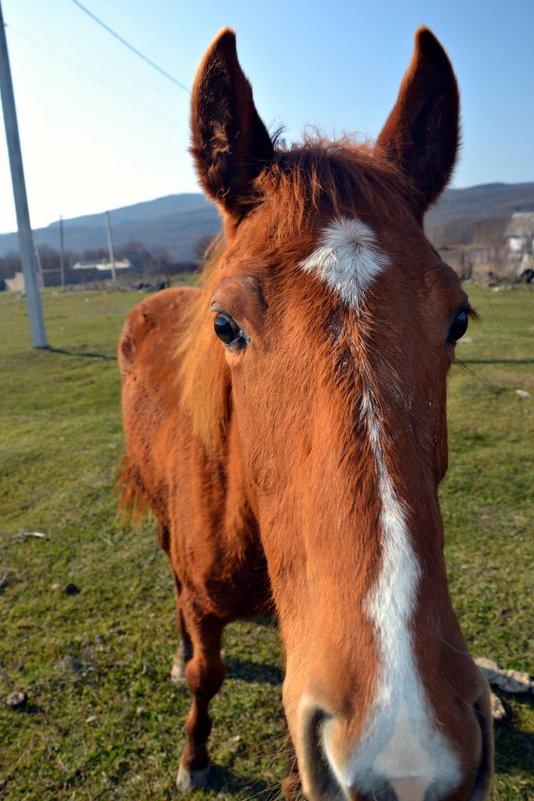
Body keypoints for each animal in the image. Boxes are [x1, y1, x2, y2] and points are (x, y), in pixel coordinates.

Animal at [119, 25, 496, 800]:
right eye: (225, 324)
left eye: (458, 319)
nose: (407, 755)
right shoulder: (203, 599)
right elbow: (206, 672)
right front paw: (194, 755)